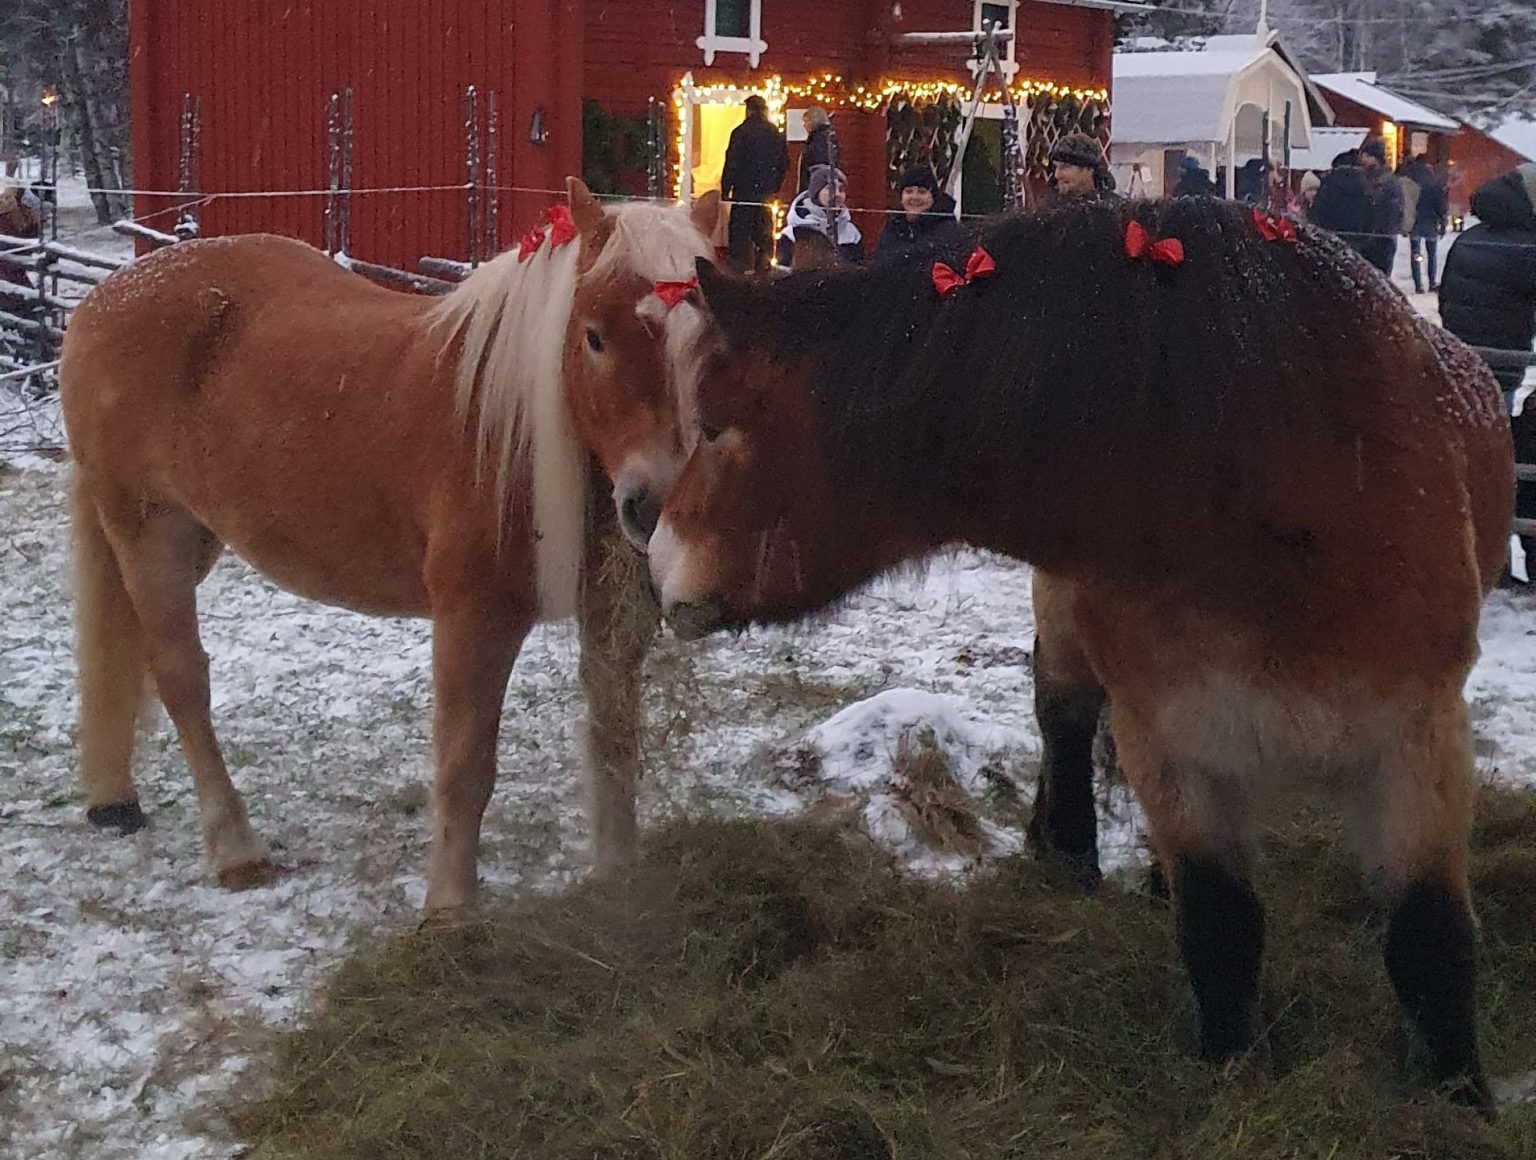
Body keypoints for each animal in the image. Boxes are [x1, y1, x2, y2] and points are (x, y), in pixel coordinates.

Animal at [54, 178, 712, 909]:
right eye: (593, 336)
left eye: (708, 339)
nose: (654, 507)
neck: (515, 428)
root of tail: (103, 299)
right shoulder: (473, 618)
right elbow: (465, 767)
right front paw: (449, 911)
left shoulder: (613, 619)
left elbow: (614, 742)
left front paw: (616, 880)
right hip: (150, 533)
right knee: (180, 678)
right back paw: (234, 849)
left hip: (192, 539)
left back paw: (113, 798)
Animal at [645, 196, 1511, 1106]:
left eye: (713, 426)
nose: (655, 556)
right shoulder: (1169, 736)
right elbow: (1220, 921)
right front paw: (1230, 1064)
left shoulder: (1418, 735)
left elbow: (1427, 931)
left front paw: (1455, 1093)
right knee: (1061, 717)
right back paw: (1067, 854)